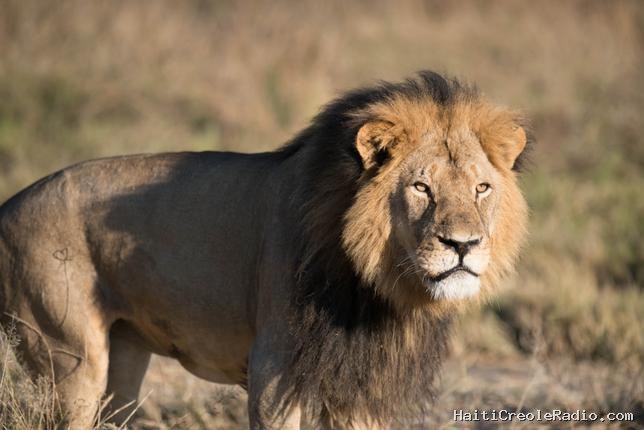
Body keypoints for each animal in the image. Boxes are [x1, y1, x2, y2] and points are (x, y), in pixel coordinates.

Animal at [0, 71, 529, 429]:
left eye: (481, 188)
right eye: (421, 188)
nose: (463, 245)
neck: (380, 290)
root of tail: (9, 204)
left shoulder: (361, 387)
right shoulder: (274, 372)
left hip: (124, 358)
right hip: (67, 357)